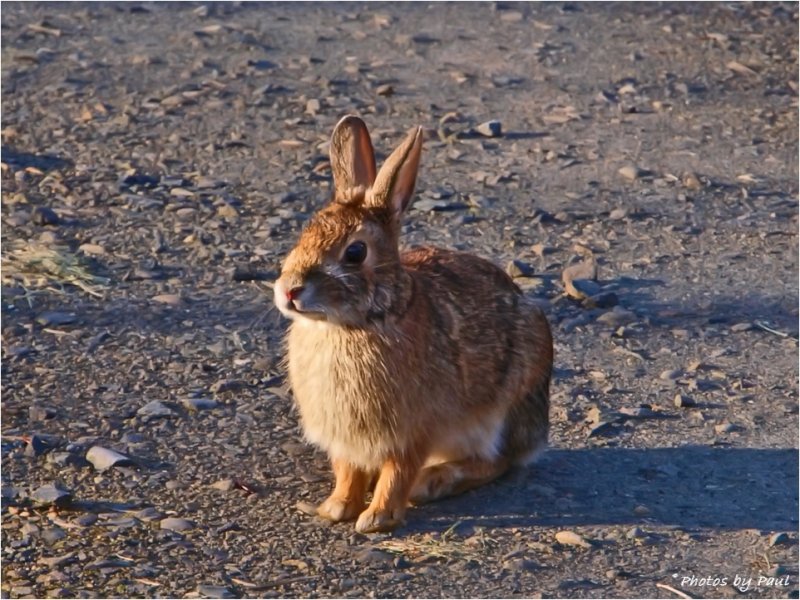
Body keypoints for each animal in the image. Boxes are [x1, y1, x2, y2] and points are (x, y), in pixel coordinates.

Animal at [274, 115, 552, 532]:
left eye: (355, 252)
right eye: (304, 235)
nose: (290, 290)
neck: (354, 325)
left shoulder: (412, 431)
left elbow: (398, 472)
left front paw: (377, 518)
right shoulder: (346, 438)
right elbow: (348, 471)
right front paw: (336, 508)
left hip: (501, 412)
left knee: (495, 461)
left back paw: (433, 482)